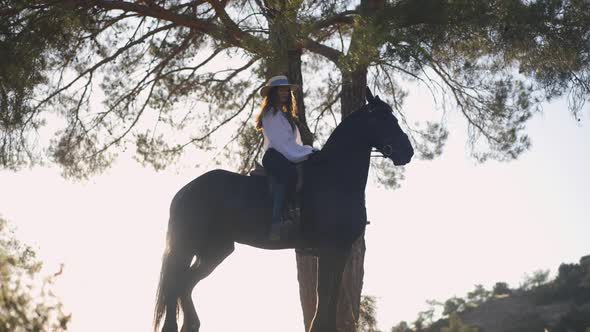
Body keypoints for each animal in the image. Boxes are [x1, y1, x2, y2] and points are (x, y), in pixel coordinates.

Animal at [155, 89, 414, 332]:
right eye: (382, 118)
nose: (407, 152)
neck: (335, 179)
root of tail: (184, 192)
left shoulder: (341, 251)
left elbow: (333, 293)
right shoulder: (328, 248)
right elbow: (324, 292)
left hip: (215, 251)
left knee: (185, 284)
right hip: (186, 246)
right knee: (175, 284)